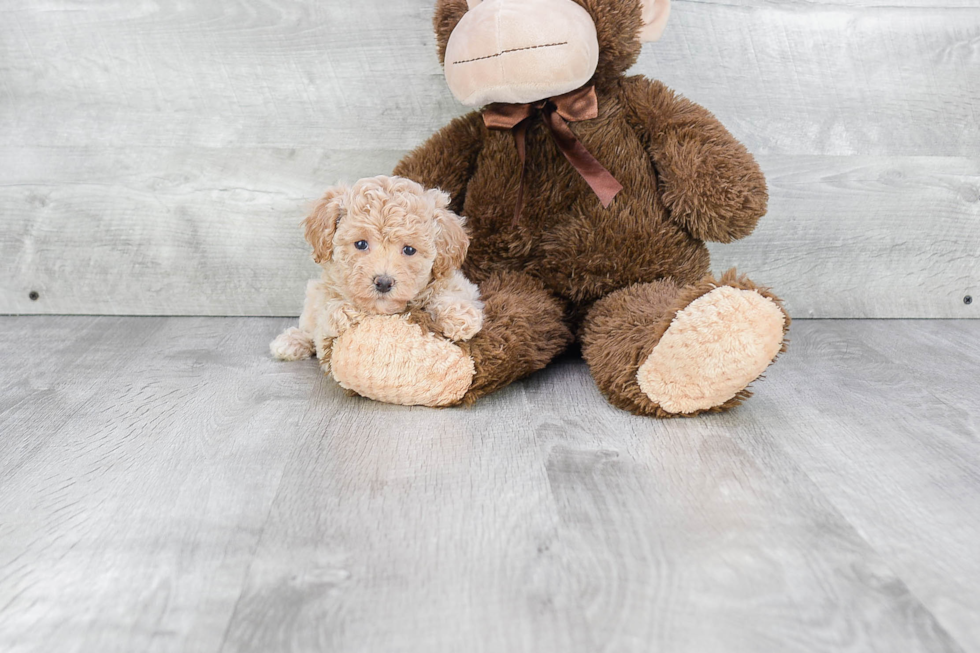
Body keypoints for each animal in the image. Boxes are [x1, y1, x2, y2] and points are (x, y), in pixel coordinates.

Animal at [270, 176, 484, 364]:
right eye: (361, 244)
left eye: (409, 250)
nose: (383, 282)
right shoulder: (324, 289)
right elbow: (326, 305)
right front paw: (341, 311)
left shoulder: (458, 282)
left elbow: (449, 290)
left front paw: (460, 316)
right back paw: (291, 342)